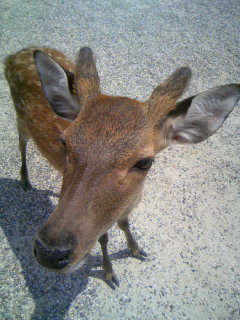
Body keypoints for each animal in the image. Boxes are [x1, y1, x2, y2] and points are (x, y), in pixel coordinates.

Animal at [4, 46, 240, 288]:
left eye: (144, 162)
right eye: (64, 143)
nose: (50, 253)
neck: (130, 200)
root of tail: (15, 54)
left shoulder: (126, 207)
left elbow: (125, 224)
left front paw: (137, 250)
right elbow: (104, 237)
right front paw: (109, 273)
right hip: (21, 121)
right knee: (21, 141)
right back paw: (25, 180)